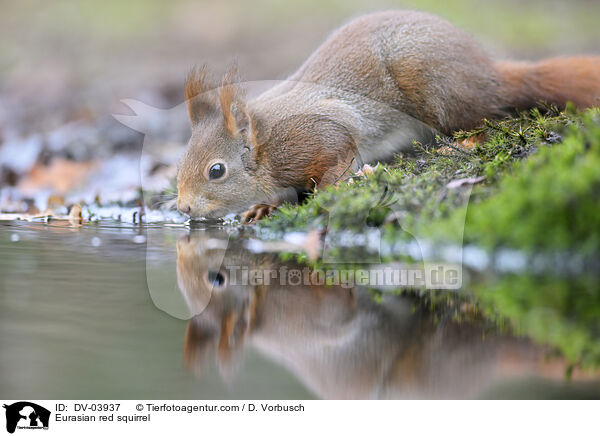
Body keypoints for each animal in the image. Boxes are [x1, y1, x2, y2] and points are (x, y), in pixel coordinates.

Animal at [177, 10, 600, 221]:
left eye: (217, 171)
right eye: (180, 163)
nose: (182, 208)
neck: (265, 145)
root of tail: (487, 71)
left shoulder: (315, 133)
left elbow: (340, 151)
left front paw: (331, 187)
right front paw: (265, 207)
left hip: (432, 84)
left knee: (482, 115)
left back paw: (465, 141)